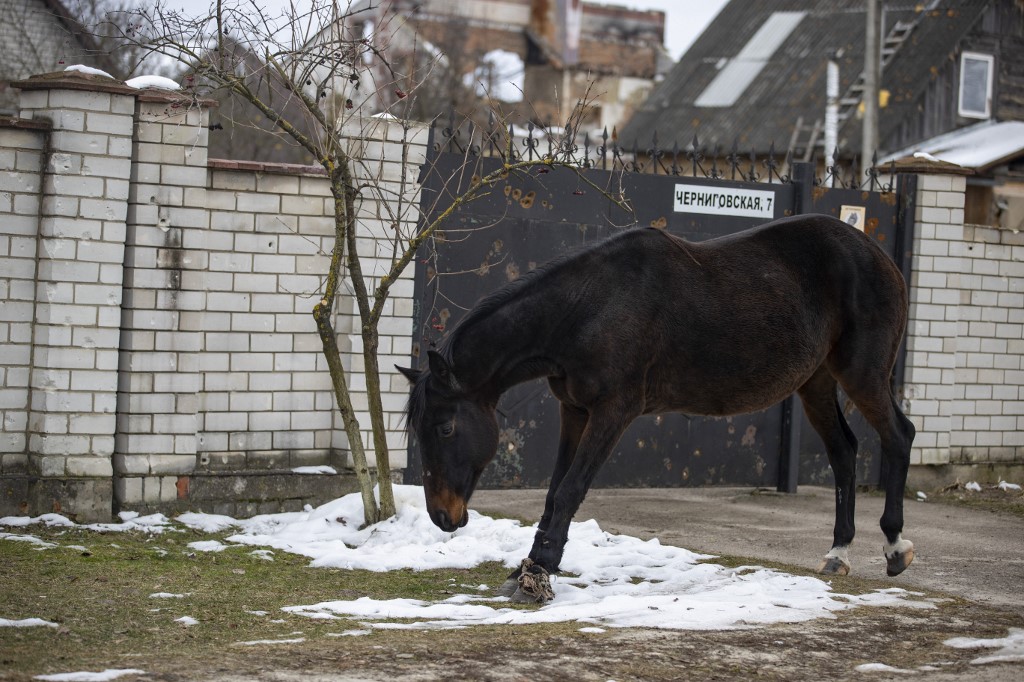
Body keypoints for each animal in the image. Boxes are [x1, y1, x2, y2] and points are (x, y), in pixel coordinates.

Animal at [395, 214, 917, 602]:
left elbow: (570, 491)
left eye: (445, 428)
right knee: (844, 452)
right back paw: (838, 553)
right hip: (816, 382)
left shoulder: (614, 412)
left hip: (862, 374)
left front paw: (539, 571)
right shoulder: (574, 411)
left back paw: (895, 546)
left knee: (899, 435)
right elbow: (554, 491)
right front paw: (532, 566)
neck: (590, 307)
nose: (442, 516)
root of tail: (879, 256)